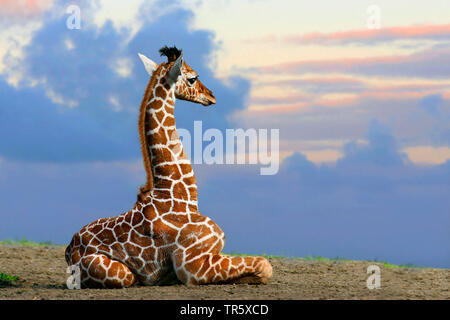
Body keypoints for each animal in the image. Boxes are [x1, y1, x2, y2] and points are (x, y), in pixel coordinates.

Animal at [65, 45, 272, 288]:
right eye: (193, 78)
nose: (211, 95)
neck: (181, 196)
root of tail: (69, 249)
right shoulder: (191, 265)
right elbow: (264, 265)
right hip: (119, 274)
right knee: (127, 276)